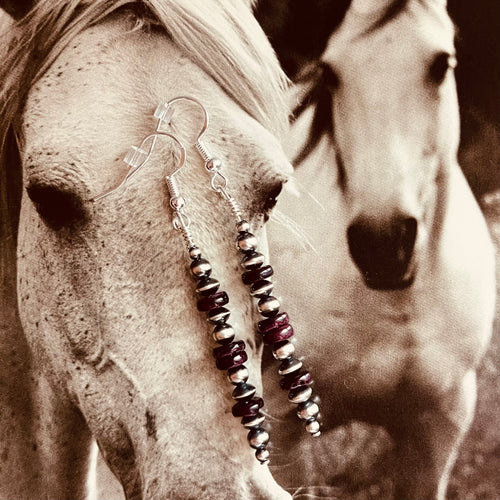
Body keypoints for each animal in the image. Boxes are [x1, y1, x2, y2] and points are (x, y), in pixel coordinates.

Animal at [266, 0, 496, 500]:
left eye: (440, 64)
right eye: (331, 73)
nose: (382, 244)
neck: (397, 305)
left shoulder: (437, 430)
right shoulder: (282, 434)